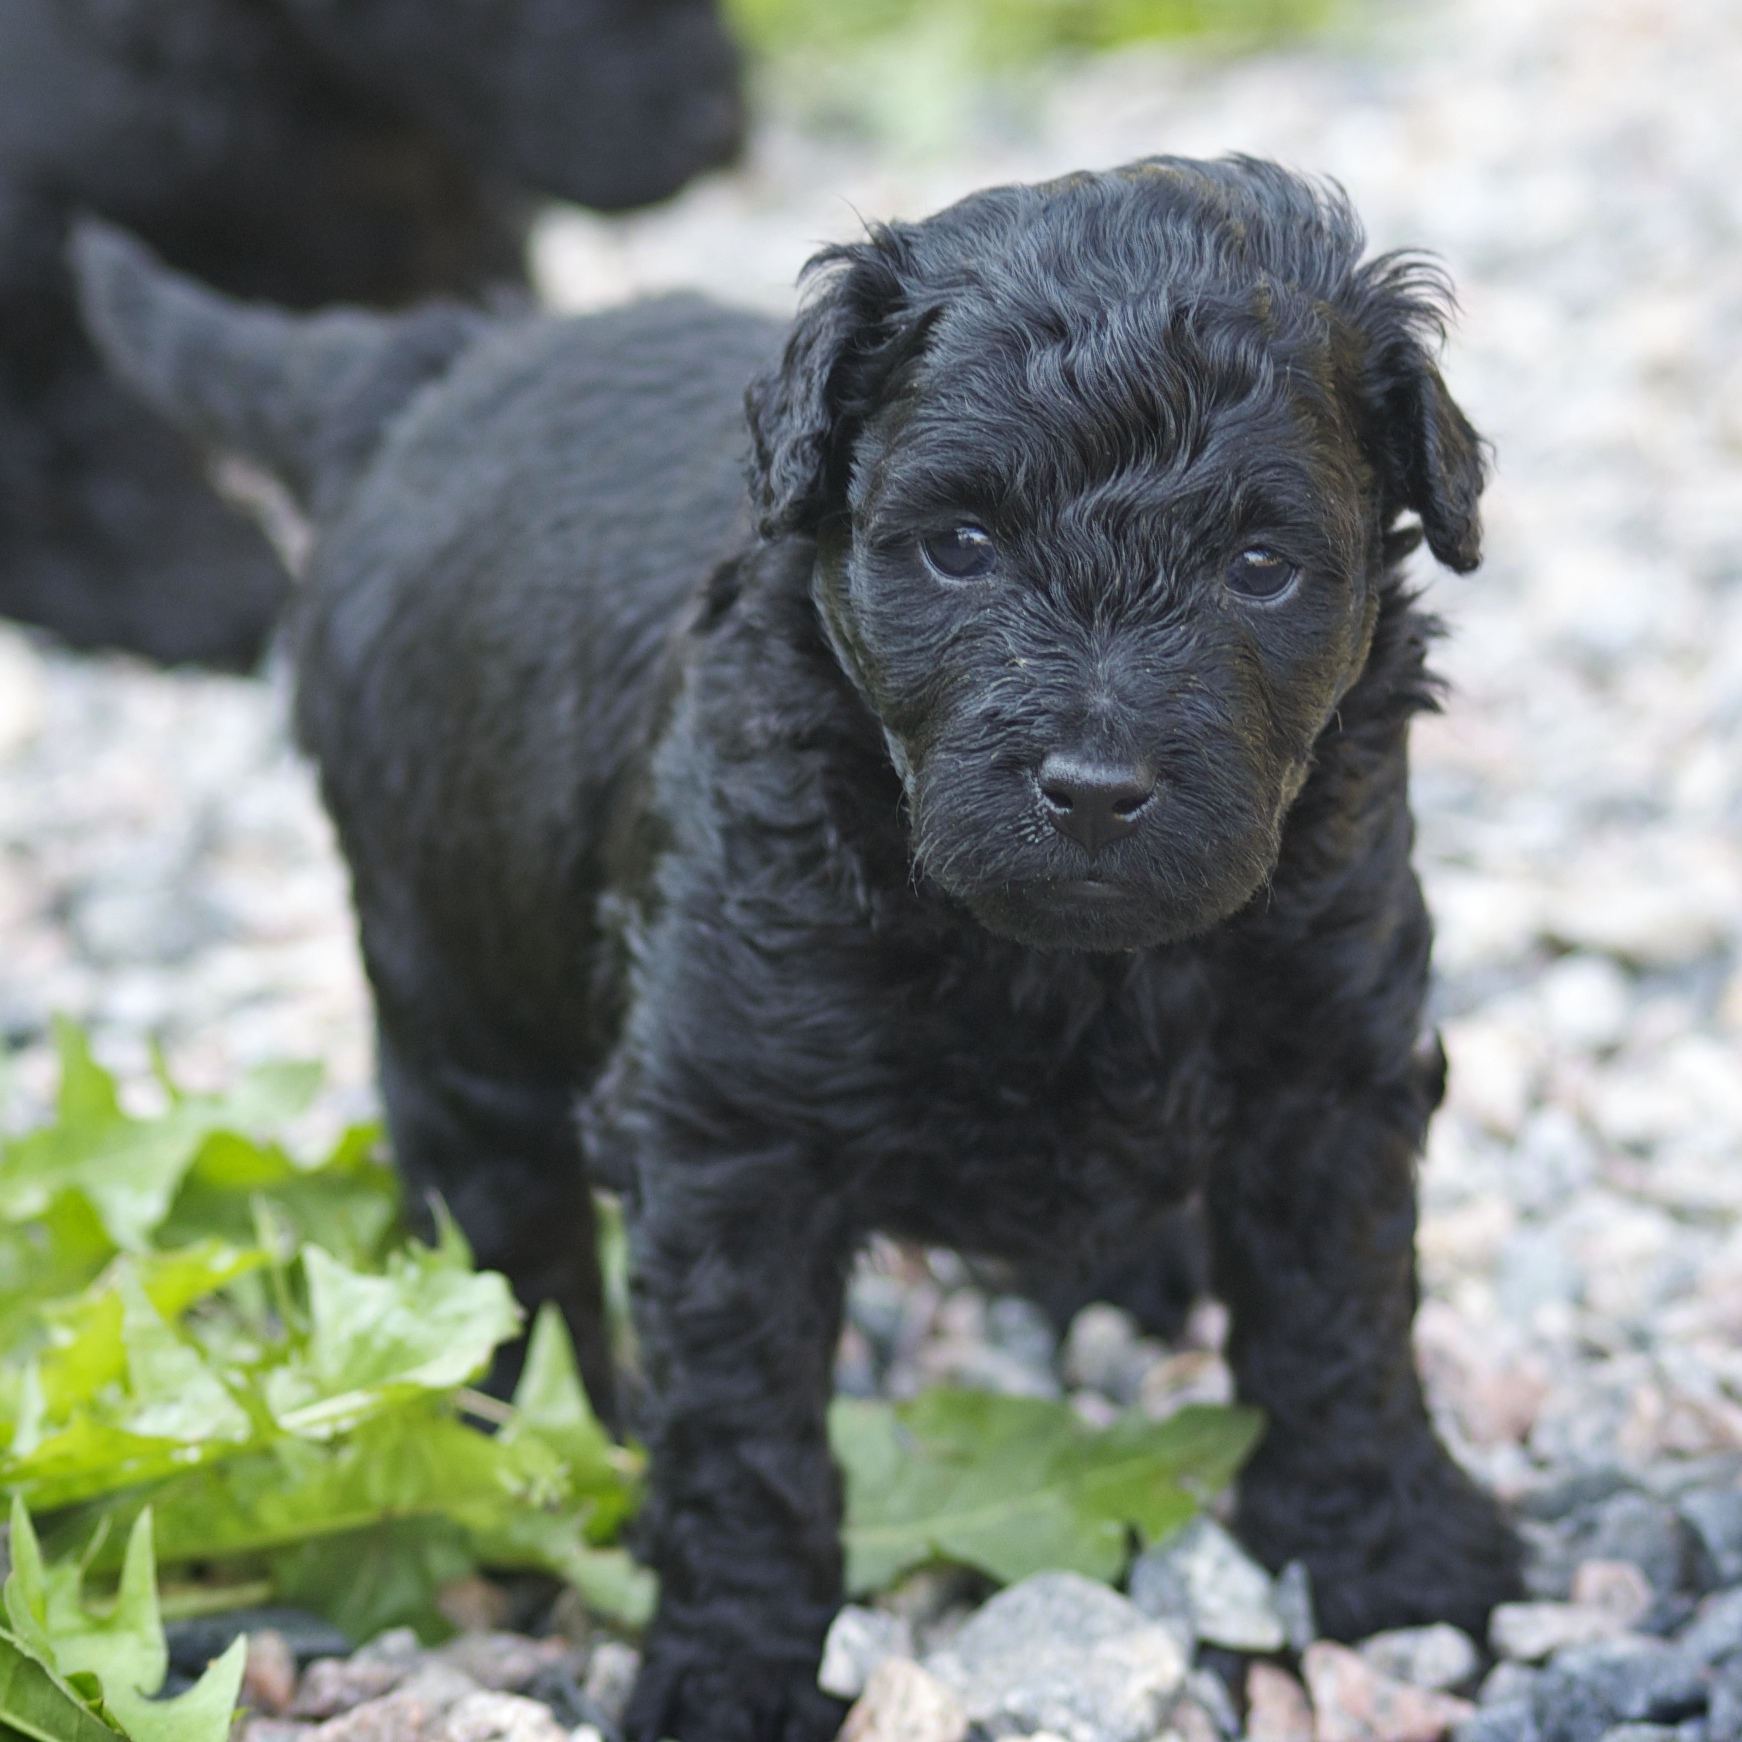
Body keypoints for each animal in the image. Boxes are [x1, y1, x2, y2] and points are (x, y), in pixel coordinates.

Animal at [1, 0, 741, 668]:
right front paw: (194, 588)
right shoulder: (39, 237)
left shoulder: (457, 226)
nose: (719, 125)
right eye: (555, 17)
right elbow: (77, 440)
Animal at [76, 156, 1521, 1741]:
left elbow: (1339, 1316)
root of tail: (433, 370)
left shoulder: (1332, 1051)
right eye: (959, 547)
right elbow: (745, 1431)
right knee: (495, 1212)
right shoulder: (730, 1133)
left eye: (1260, 567)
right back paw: (507, 1431)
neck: (1057, 962)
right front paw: (726, 1667)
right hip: (448, 957)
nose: (1093, 788)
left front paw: (1388, 1545)